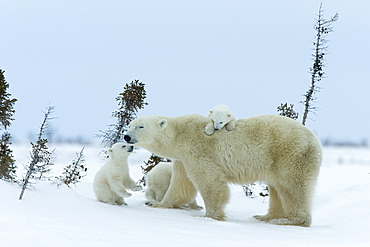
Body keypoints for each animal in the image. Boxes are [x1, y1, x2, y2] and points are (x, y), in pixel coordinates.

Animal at [124, 114, 320, 226]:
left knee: (292, 186)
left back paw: (290, 220)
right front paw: (158, 204)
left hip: (289, 154)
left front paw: (210, 216)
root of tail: (315, 140)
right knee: (276, 189)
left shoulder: (198, 150)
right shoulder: (182, 159)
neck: (180, 134)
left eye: (141, 126)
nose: (126, 136)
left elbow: (209, 182)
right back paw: (264, 217)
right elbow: (181, 184)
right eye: (129, 125)